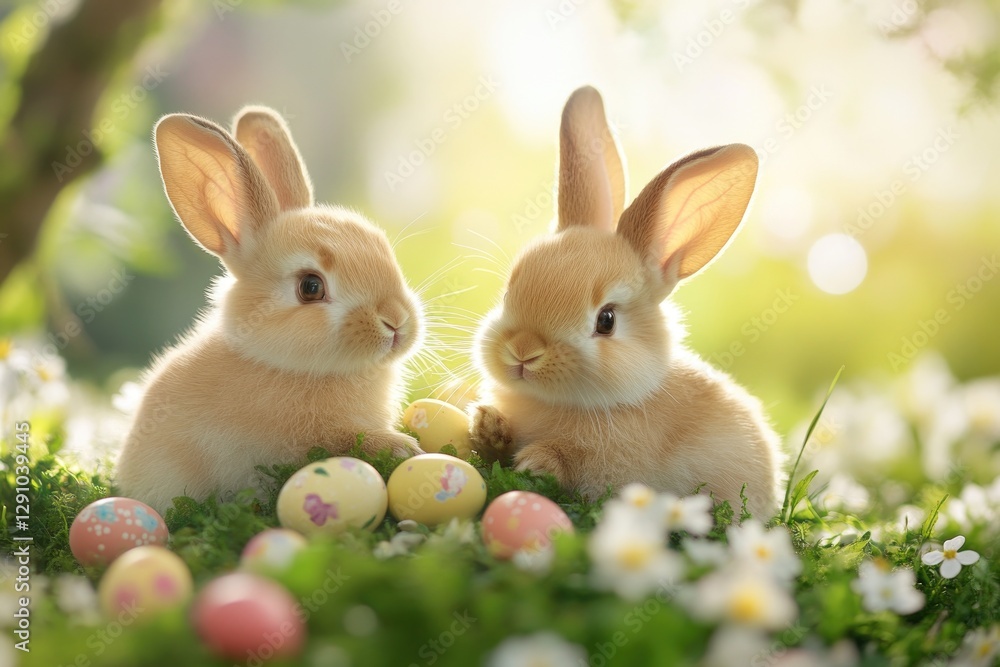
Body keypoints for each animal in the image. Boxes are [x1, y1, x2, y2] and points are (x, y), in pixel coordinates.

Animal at [469, 86, 782, 519]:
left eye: (606, 320)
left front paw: (535, 461)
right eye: (507, 292)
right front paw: (487, 425)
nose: (523, 351)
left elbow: (572, 462)